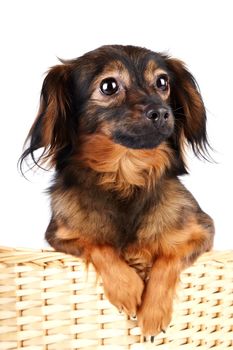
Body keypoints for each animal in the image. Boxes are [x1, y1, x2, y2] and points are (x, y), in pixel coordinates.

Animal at [20, 45, 215, 340]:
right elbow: (98, 245)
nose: (161, 112)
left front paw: (153, 312)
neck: (125, 175)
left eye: (162, 82)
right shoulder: (60, 236)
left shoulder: (203, 232)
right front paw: (128, 288)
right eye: (109, 86)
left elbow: (168, 257)